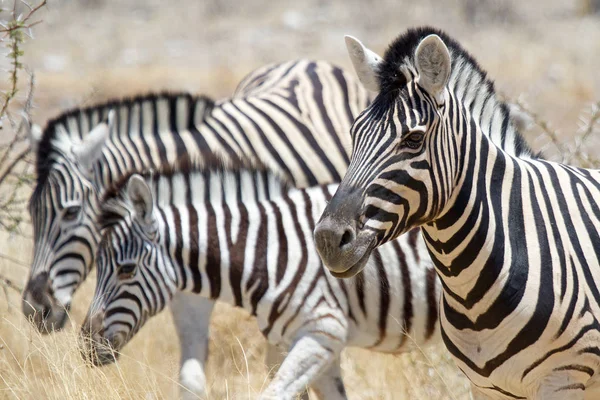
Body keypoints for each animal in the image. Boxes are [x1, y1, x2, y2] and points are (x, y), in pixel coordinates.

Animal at [23, 59, 370, 400]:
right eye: (31, 212)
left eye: (71, 211)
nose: (34, 308)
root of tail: (307, 62)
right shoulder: (181, 281)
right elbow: (190, 378)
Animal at [79, 160, 440, 400]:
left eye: (127, 270)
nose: (85, 346)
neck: (267, 251)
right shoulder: (304, 345)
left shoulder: (323, 330)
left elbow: (272, 394)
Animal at [312, 26, 600, 398]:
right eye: (353, 134)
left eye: (413, 139)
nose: (328, 238)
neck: (470, 291)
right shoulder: (485, 386)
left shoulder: (564, 379)